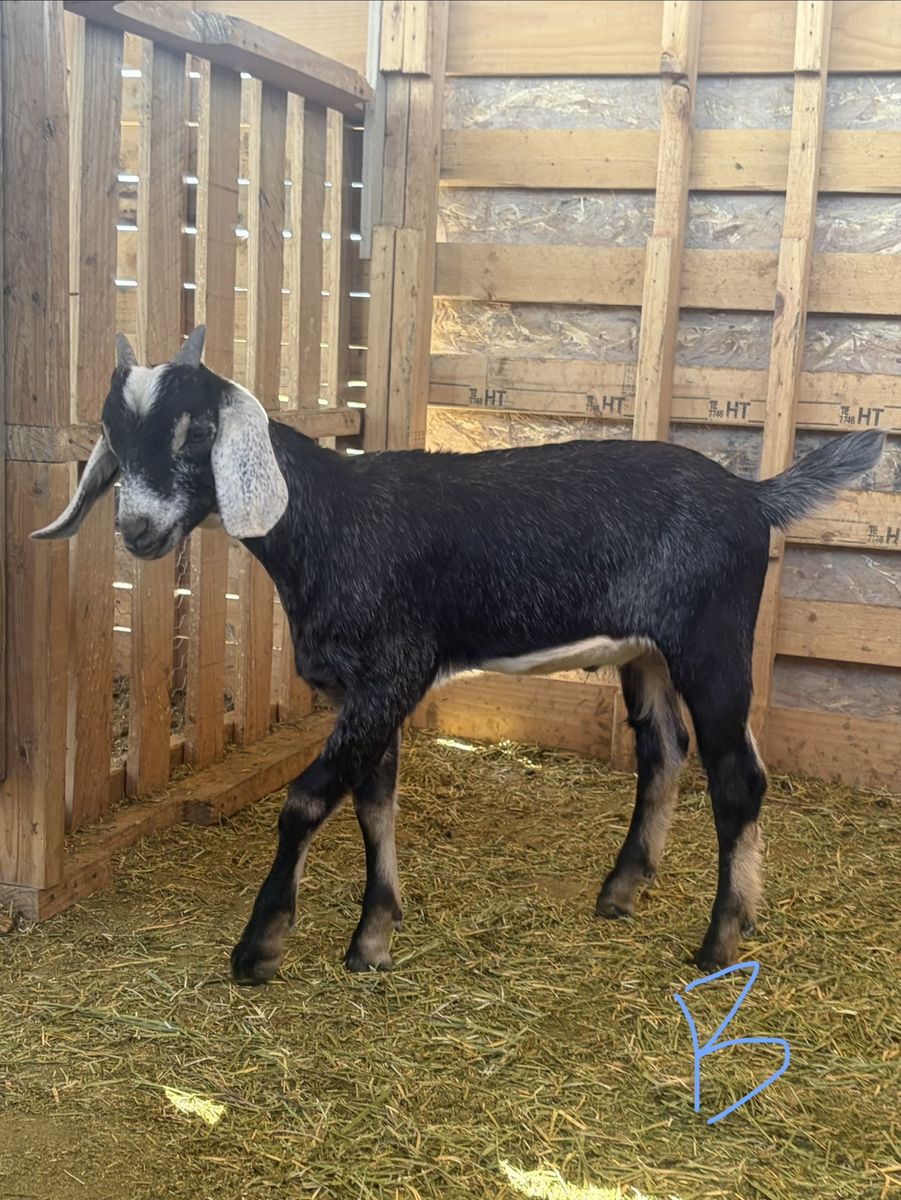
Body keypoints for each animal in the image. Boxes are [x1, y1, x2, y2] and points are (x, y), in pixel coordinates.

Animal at [33, 327, 885, 983]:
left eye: (200, 431)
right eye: (114, 435)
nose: (138, 530)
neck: (334, 520)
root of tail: (753, 497)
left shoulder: (392, 672)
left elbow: (307, 800)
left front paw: (261, 946)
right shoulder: (364, 690)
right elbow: (374, 803)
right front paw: (373, 939)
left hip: (710, 643)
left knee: (738, 776)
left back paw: (719, 940)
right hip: (644, 651)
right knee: (663, 750)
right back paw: (621, 890)